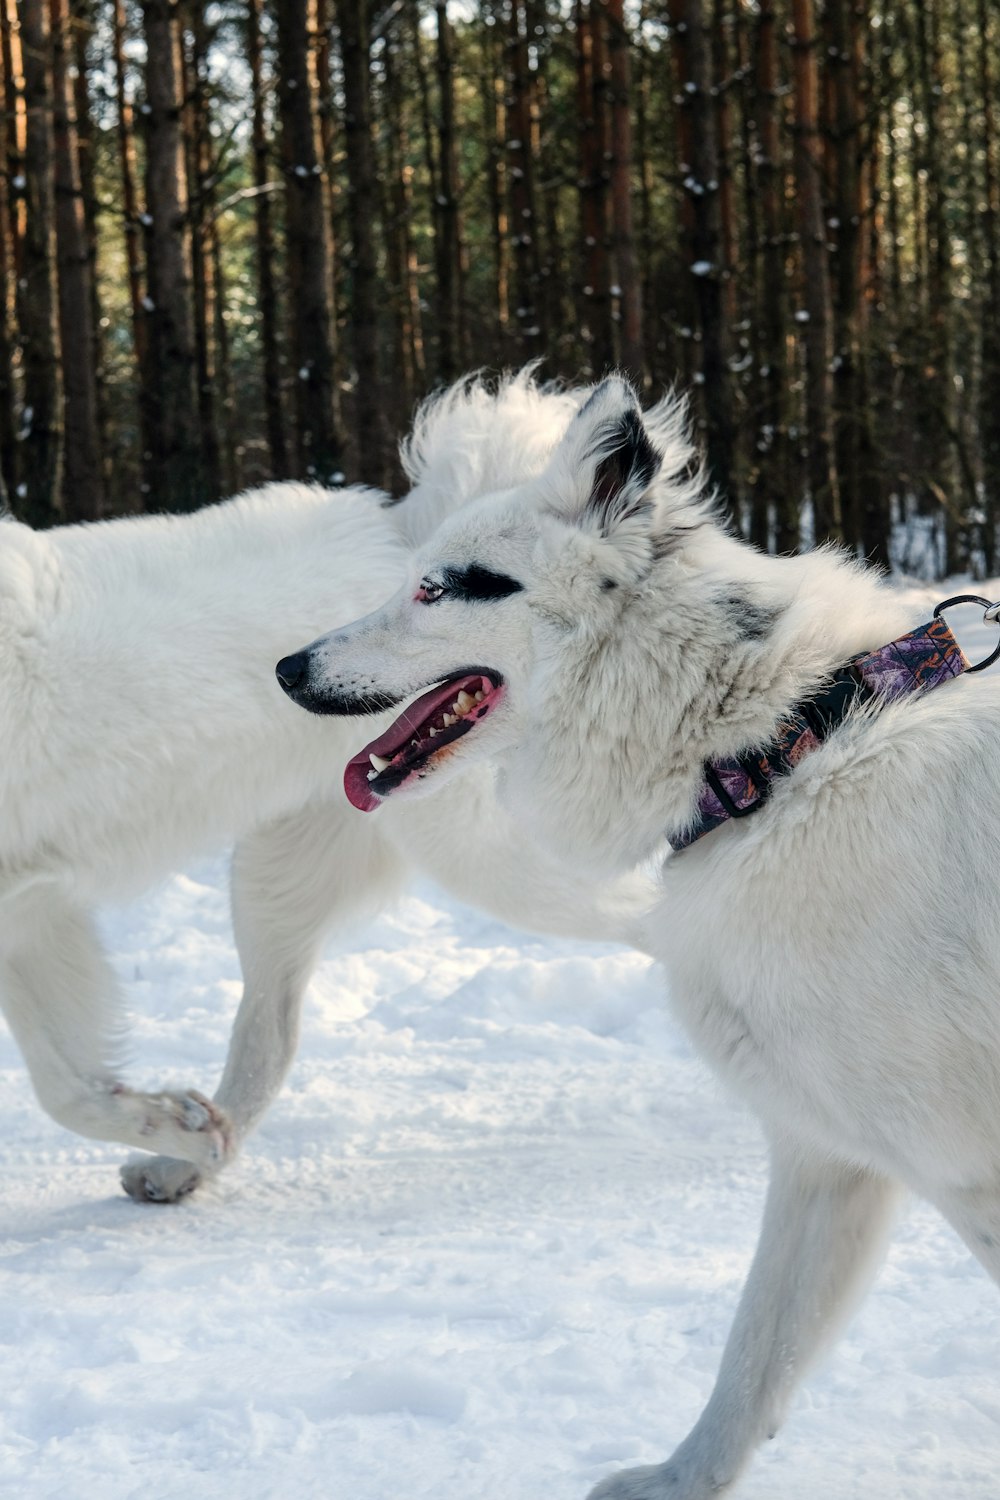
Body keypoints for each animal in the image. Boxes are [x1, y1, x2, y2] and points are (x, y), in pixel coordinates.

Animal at [0, 375, 656, 1206]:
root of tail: (406, 539)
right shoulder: (32, 911)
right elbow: (68, 1086)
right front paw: (180, 1127)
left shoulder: (32, 908)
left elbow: (63, 1086)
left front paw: (175, 1126)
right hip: (277, 881)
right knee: (271, 1037)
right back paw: (188, 1165)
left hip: (492, 863)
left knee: (654, 912)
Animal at [283, 378, 1000, 1500]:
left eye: (440, 589)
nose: (288, 667)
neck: (778, 748)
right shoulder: (825, 1157)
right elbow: (753, 1357)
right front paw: (677, 1482)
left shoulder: (961, 1166)